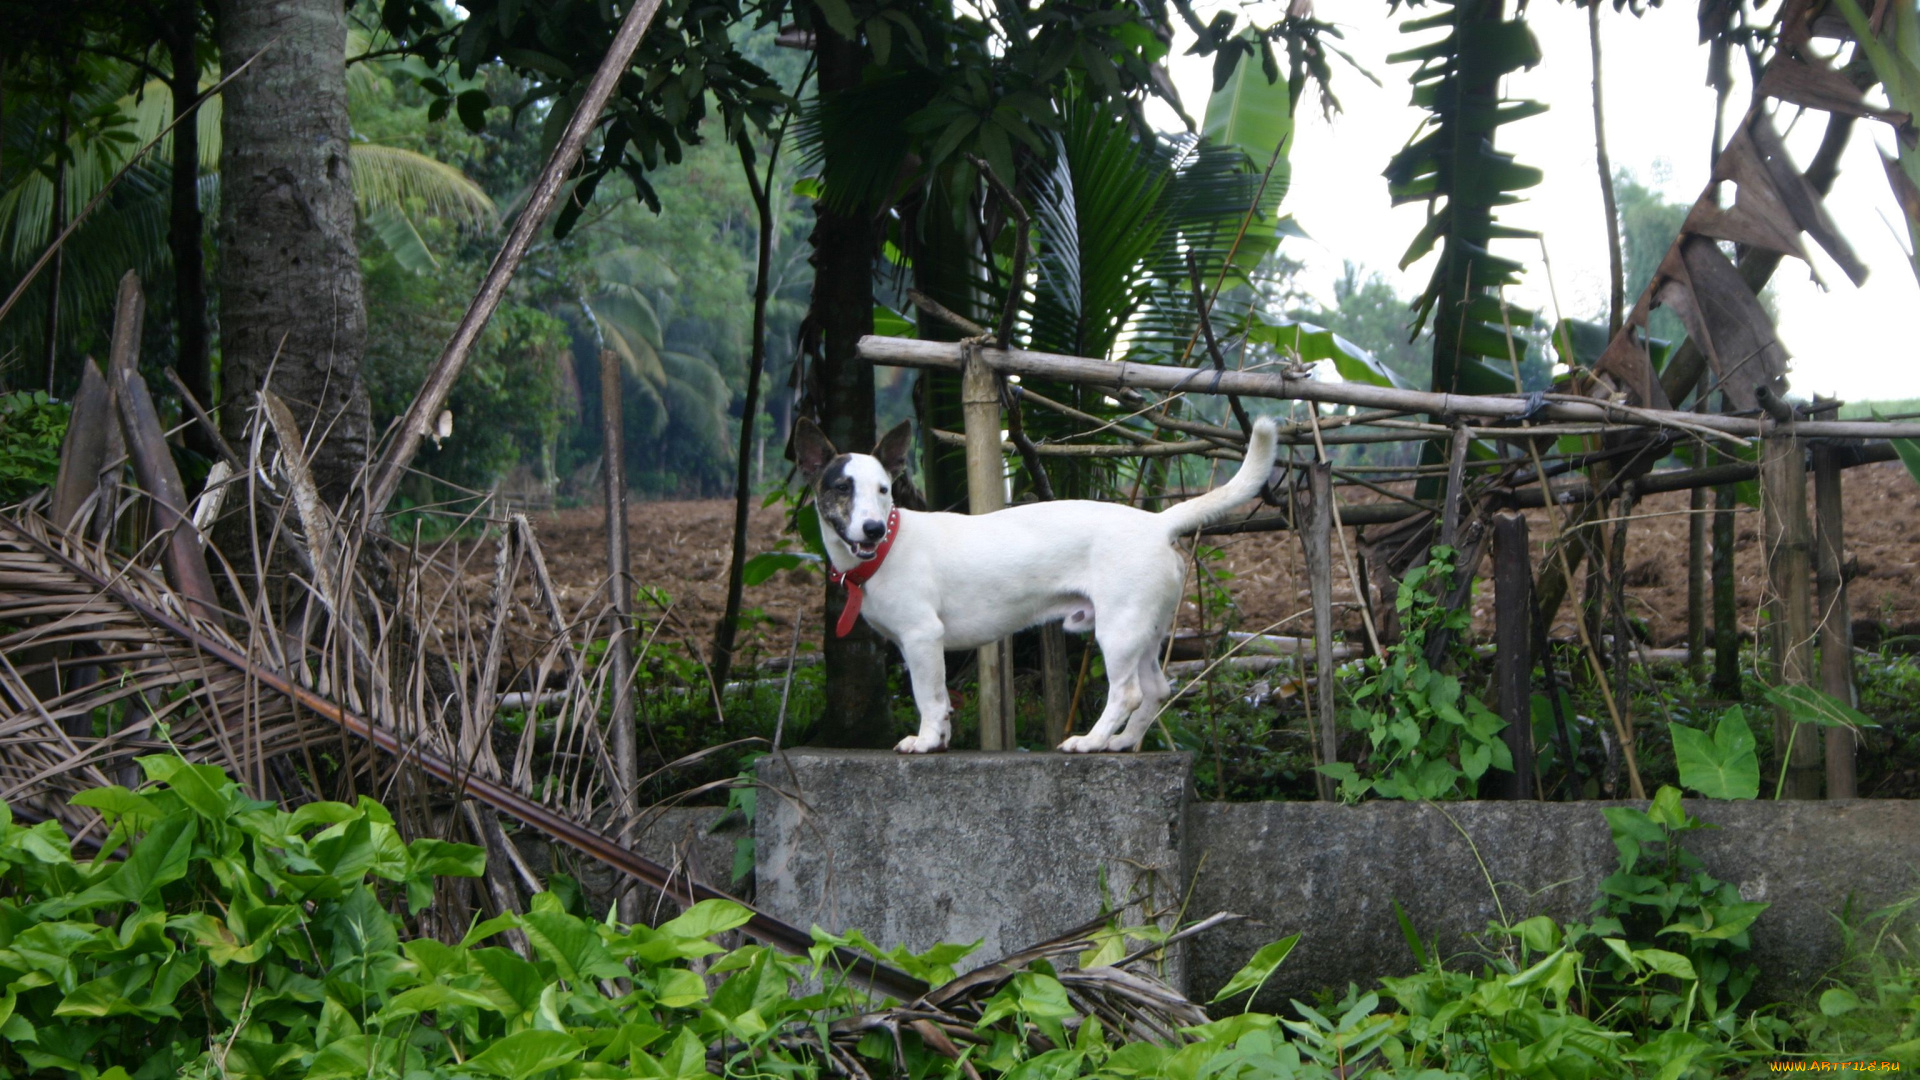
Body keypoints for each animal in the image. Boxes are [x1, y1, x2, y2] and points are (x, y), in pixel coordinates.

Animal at [794, 417, 1274, 753]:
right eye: (842, 488)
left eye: (883, 490)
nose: (872, 529)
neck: (890, 545)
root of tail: (1157, 523)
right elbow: (940, 698)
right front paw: (942, 737)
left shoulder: (922, 637)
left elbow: (927, 696)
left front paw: (926, 740)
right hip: (1145, 629)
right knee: (1155, 690)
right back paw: (1120, 741)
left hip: (1118, 630)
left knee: (1127, 693)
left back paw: (1092, 740)